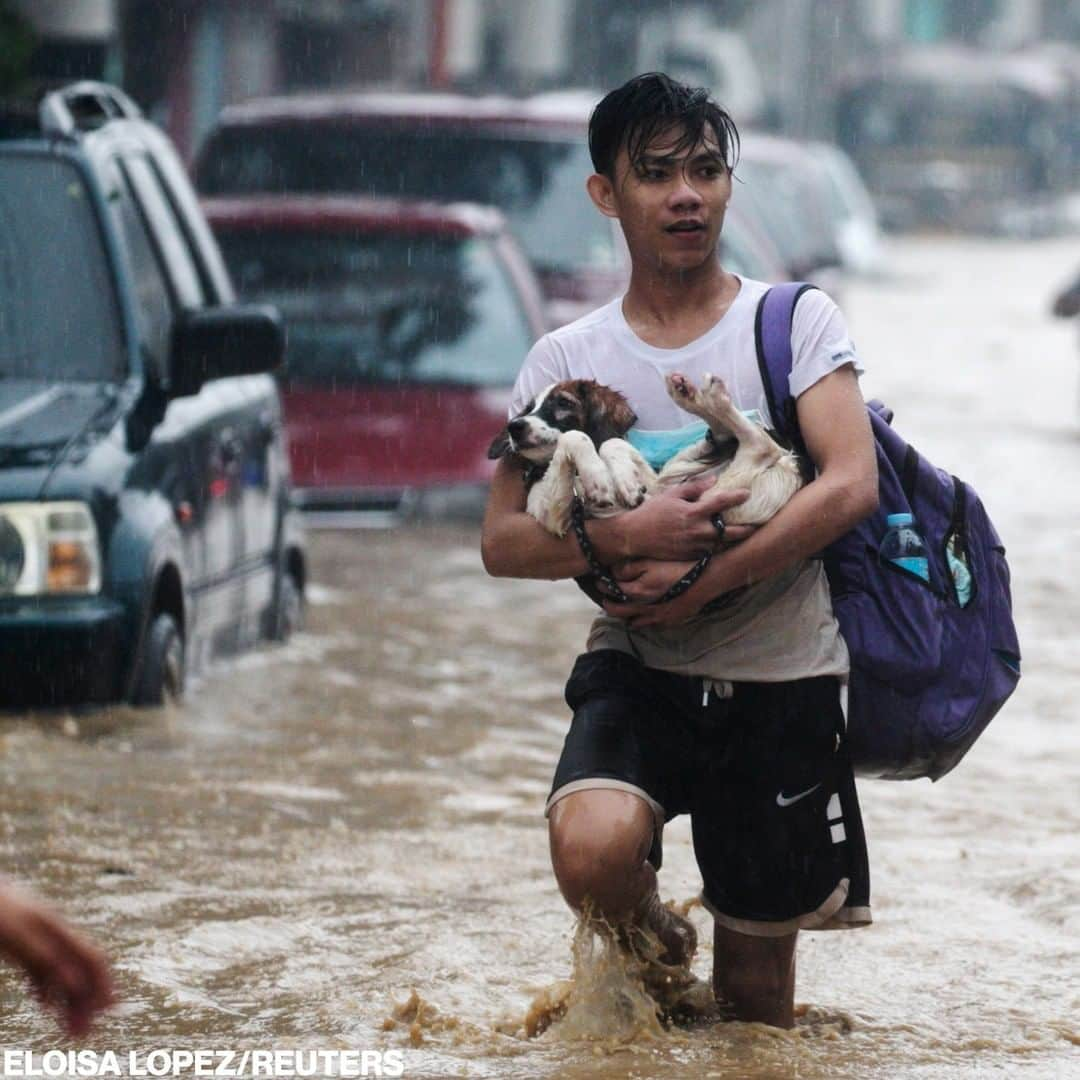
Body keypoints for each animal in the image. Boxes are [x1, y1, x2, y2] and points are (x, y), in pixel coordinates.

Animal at [486, 375, 807, 540]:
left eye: (563, 403)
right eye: (529, 407)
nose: (515, 427)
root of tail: (787, 471)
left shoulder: (645, 478)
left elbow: (611, 442)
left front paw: (621, 481)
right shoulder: (555, 516)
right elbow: (575, 437)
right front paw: (599, 480)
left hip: (671, 481)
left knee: (746, 440)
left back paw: (695, 398)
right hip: (703, 491)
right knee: (759, 446)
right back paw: (706, 398)